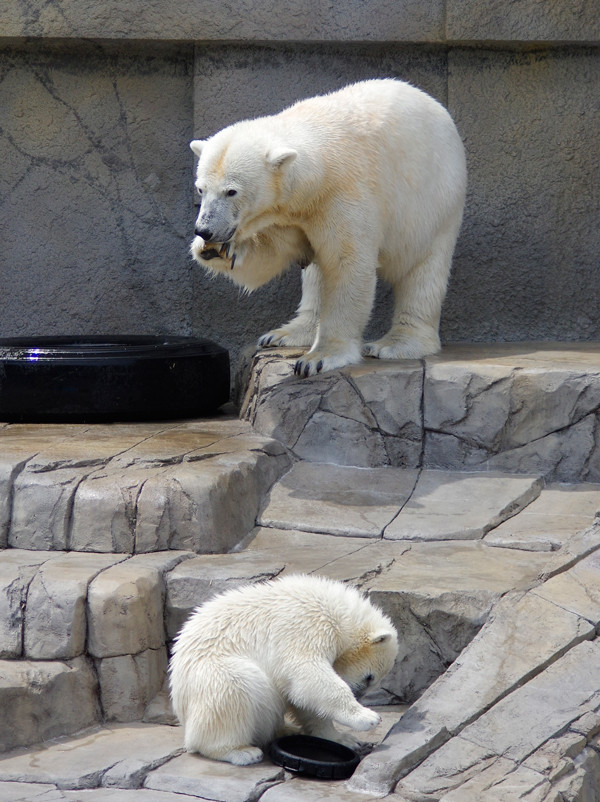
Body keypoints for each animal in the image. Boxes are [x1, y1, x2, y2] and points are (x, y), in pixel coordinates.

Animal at [190, 77, 466, 376]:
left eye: (231, 191)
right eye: (201, 189)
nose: (204, 229)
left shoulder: (343, 195)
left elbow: (348, 264)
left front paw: (318, 359)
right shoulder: (290, 213)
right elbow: (270, 256)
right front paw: (216, 249)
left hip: (432, 205)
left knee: (423, 269)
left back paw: (395, 344)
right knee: (314, 274)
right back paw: (284, 334)